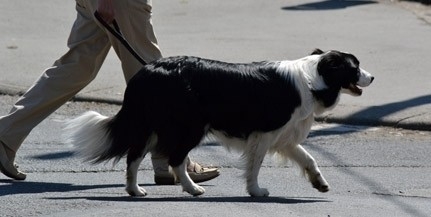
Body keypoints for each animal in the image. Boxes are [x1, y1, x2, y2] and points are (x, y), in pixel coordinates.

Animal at [65, 48, 374, 197]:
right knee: (174, 158)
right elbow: (255, 165)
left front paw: (320, 183)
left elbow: (308, 158)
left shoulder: (283, 135)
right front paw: (255, 191)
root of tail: (148, 69)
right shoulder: (264, 132)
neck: (315, 78)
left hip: (153, 125)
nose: (372, 77)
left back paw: (135, 190)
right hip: (190, 125)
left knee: (135, 156)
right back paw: (192, 189)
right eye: (355, 67)